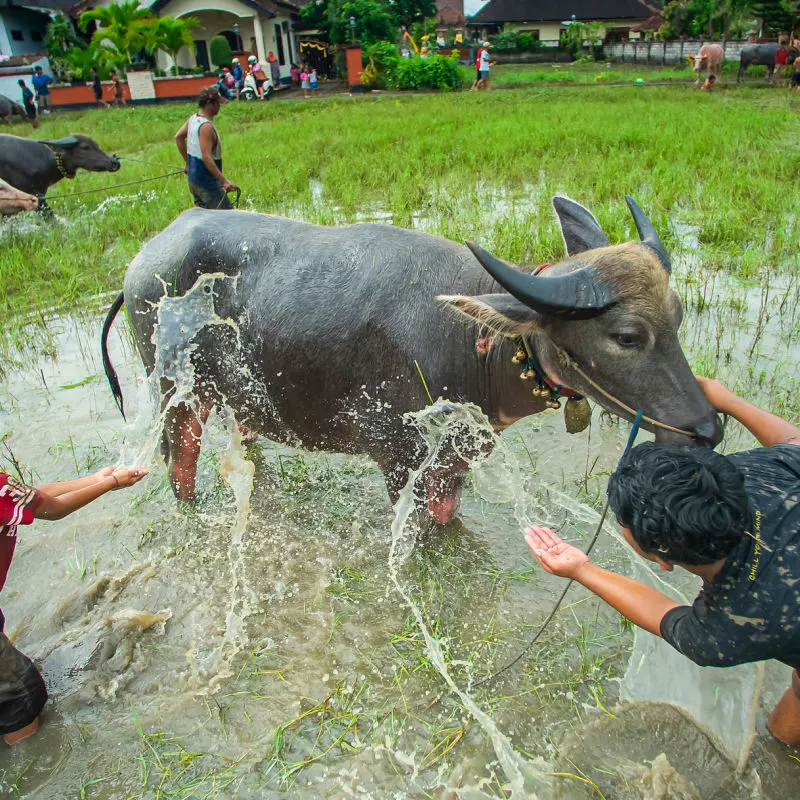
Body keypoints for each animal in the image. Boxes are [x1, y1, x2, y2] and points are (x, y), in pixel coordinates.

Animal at [101, 197, 724, 520]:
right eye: (627, 336)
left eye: (677, 316)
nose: (708, 430)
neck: (474, 343)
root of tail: (146, 257)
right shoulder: (400, 461)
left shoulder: (458, 462)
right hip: (176, 395)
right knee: (179, 463)